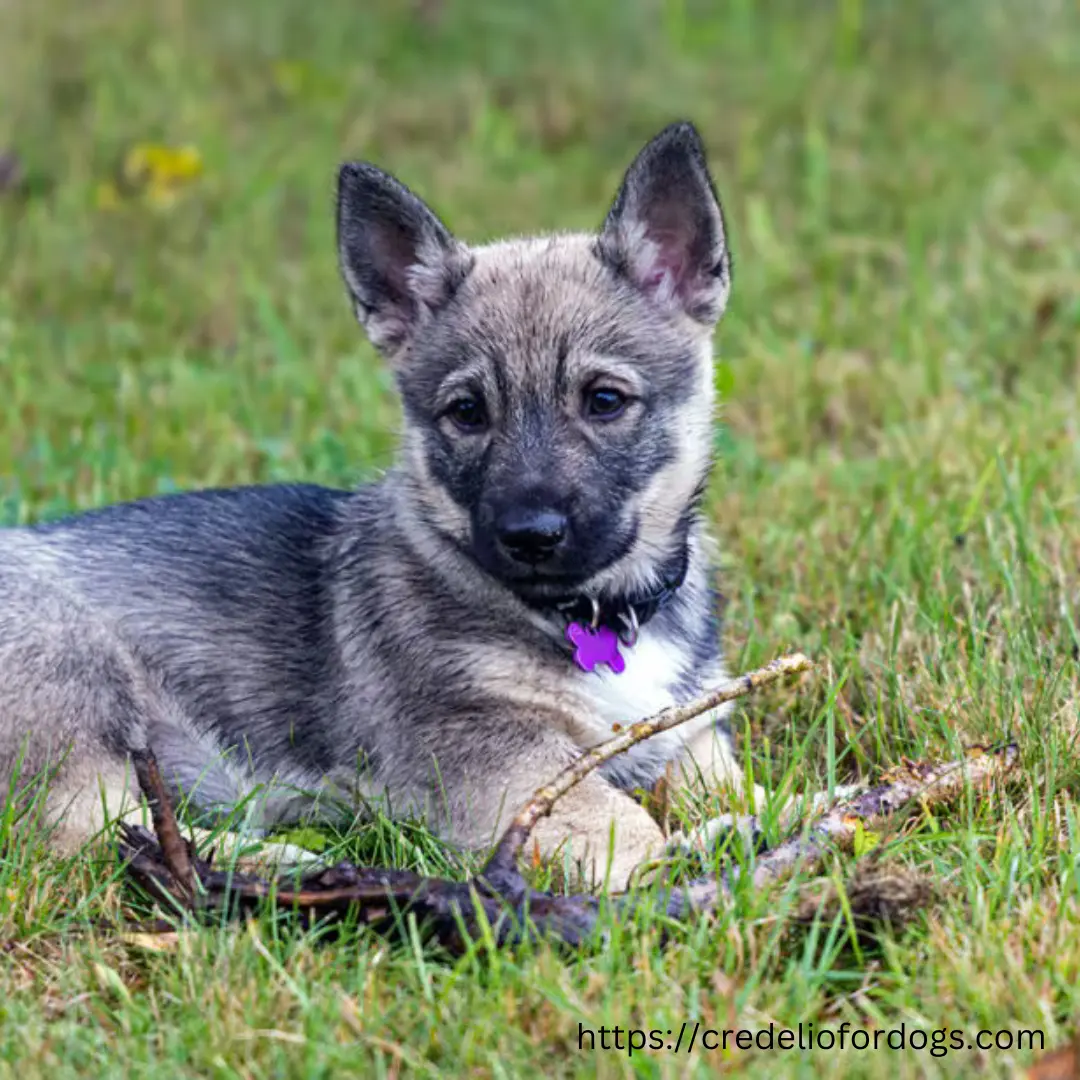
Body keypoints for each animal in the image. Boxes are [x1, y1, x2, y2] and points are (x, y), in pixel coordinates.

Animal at [0, 122, 738, 889]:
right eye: (467, 413)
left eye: (604, 400)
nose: (529, 536)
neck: (597, 616)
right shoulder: (487, 751)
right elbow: (623, 822)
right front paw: (678, 868)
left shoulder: (692, 725)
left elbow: (730, 783)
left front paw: (755, 827)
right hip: (74, 679)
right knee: (93, 837)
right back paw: (291, 863)